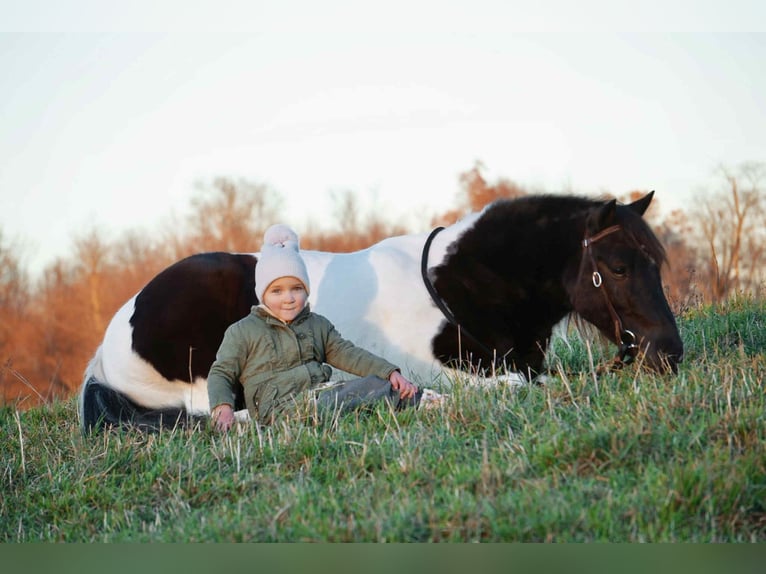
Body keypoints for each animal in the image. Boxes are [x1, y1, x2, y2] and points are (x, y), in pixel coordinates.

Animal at [78, 191, 683, 432]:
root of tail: (108, 345)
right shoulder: (452, 369)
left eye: (655, 262)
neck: (455, 286)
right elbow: (513, 386)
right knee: (220, 414)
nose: (669, 353)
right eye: (619, 268)